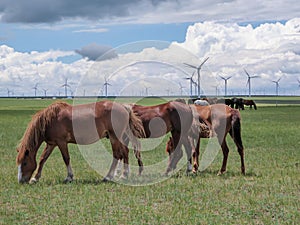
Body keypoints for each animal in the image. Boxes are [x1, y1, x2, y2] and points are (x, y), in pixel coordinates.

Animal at [16, 101, 145, 184]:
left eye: (25, 163)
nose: (21, 181)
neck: (50, 119)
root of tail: (124, 107)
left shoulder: (61, 142)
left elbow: (66, 158)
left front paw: (69, 177)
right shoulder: (51, 144)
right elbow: (43, 159)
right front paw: (35, 178)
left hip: (114, 136)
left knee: (118, 154)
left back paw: (109, 177)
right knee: (124, 152)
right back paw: (123, 174)